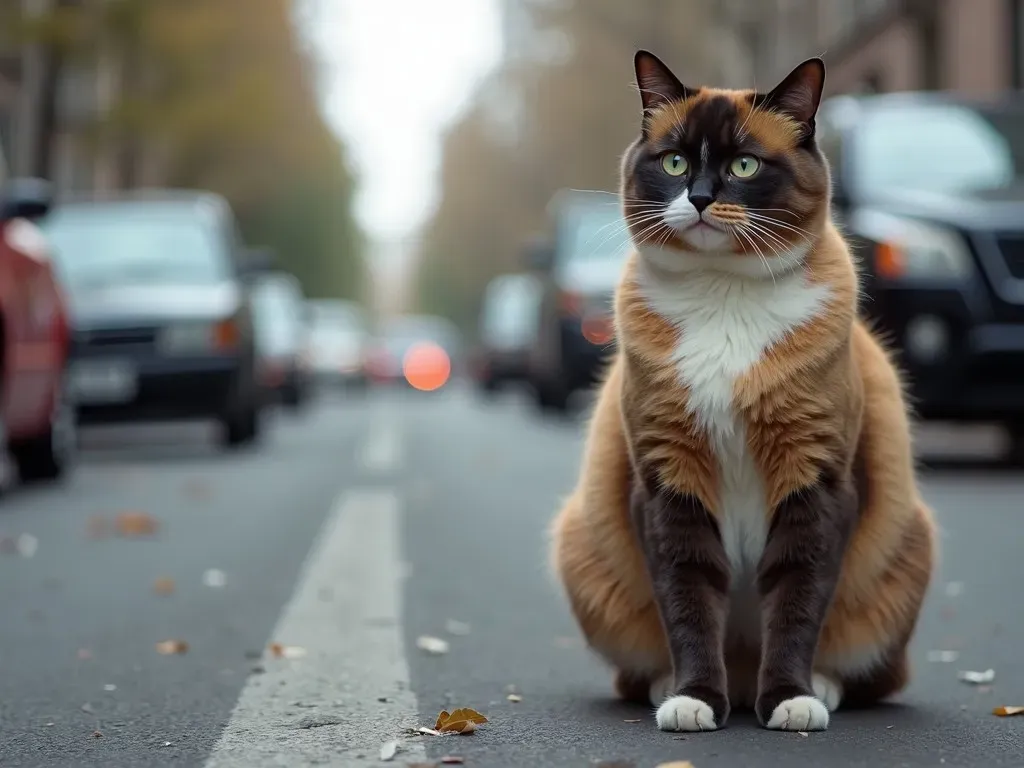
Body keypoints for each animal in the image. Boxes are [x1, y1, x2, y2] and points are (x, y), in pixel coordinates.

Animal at [552, 51, 937, 737]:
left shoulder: (816, 479)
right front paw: (696, 699)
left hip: (906, 545)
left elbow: (797, 599)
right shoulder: (668, 481)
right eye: (675, 163)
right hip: (583, 543)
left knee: (876, 673)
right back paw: (674, 686)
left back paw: (819, 686)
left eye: (744, 166)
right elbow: (687, 599)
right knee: (640, 669)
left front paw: (789, 699)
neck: (723, 293)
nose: (702, 198)